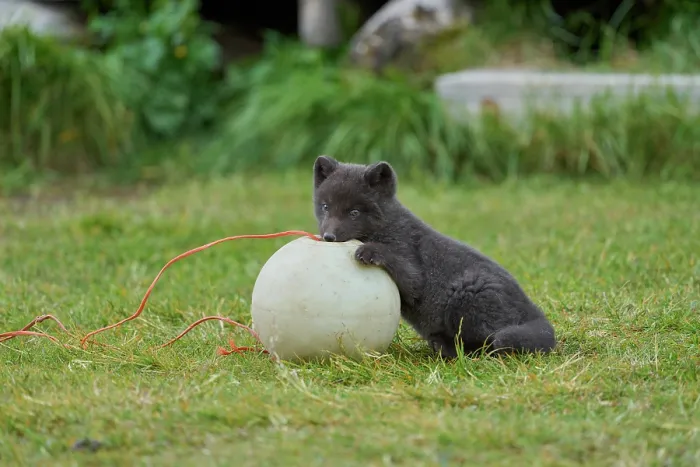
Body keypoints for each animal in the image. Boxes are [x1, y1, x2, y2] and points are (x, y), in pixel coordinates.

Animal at [312, 155, 557, 358]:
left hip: (467, 295)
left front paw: (369, 251)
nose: (329, 237)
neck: (387, 226)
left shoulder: (411, 267)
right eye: (325, 207)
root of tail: (534, 312)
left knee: (484, 344)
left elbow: (406, 271)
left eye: (354, 212)